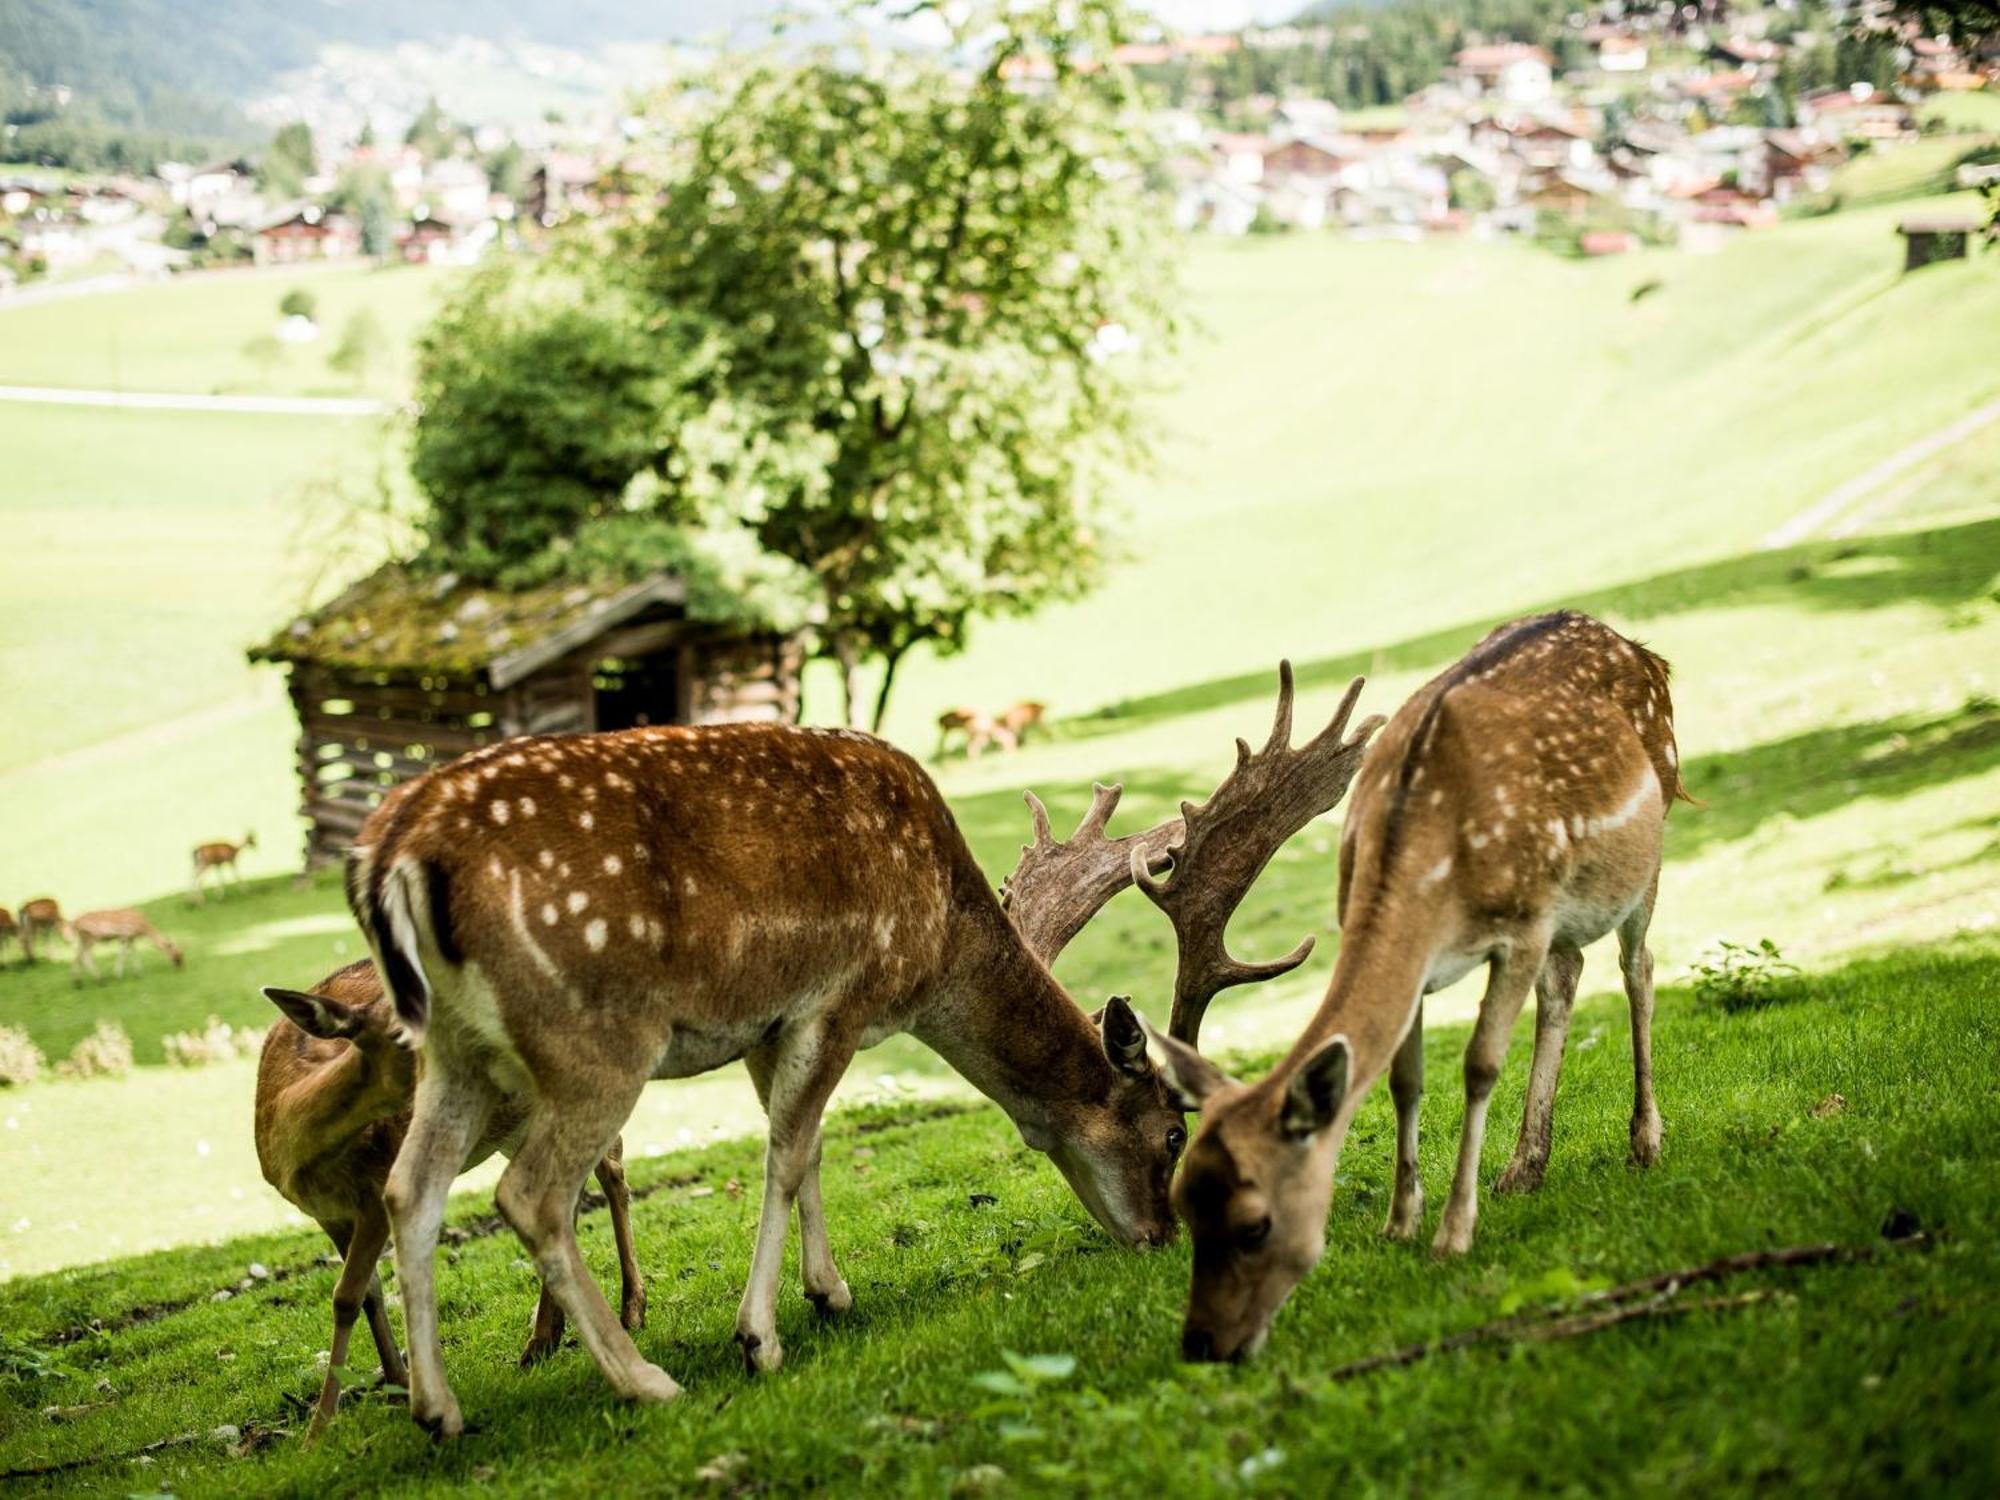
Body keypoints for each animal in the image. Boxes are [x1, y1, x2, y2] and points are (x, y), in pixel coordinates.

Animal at [252, 964, 640, 1448]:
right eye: (400, 1034)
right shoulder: (329, 1215)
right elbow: (369, 1293)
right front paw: (397, 1385)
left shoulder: (377, 1190)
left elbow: (346, 1296)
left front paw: (317, 1432)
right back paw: (542, 1340)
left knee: (612, 1166)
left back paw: (631, 1309)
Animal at [348, 672, 1376, 1448]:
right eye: (1169, 1133)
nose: (1160, 1236)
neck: (936, 943)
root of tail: (391, 853)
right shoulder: (841, 993)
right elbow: (789, 1153)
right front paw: (759, 1338)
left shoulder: (767, 1026)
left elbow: (802, 1152)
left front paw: (831, 1292)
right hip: (593, 1035)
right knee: (528, 1195)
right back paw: (646, 1381)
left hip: (453, 1049)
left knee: (410, 1187)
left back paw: (439, 1411)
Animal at [1144, 616, 1688, 1368]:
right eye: (1187, 1202)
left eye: (1255, 1225)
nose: (1202, 1344)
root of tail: (1639, 648)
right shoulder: (1429, 966)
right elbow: (1405, 1080)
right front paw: (1401, 1221)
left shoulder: (1522, 928)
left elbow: (1480, 1065)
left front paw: (1453, 1233)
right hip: (1569, 910)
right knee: (1568, 977)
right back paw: (1525, 1166)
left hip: (1649, 839)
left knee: (1639, 969)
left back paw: (1644, 1141)